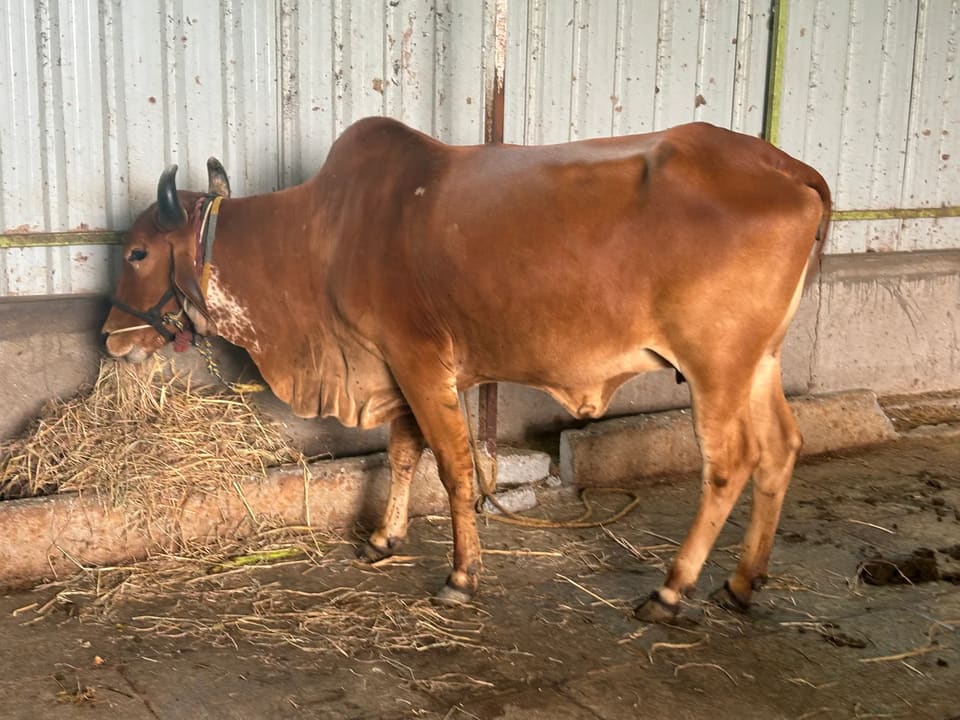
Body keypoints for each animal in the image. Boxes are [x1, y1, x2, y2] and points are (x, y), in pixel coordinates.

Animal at [102, 117, 830, 621]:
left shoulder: (419, 360)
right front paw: (384, 537)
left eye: (137, 252)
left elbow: (452, 465)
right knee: (781, 448)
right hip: (759, 363)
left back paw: (673, 590)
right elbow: (402, 454)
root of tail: (786, 166)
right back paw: (742, 582)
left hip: (716, 368)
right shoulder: (392, 368)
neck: (321, 235)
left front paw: (461, 575)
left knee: (729, 464)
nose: (109, 337)